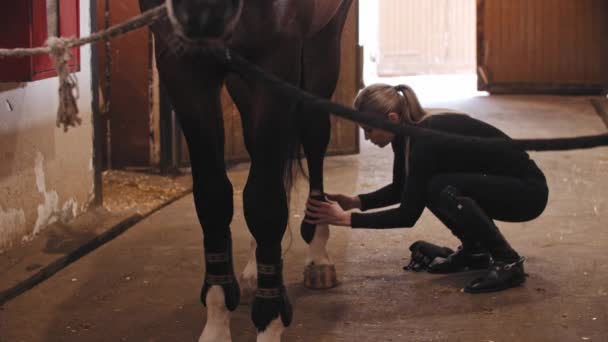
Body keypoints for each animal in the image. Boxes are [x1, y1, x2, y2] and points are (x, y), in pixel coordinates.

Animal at [138, 0, 354, 340]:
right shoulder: (182, 66)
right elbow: (213, 196)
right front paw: (217, 322)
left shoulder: (276, 60)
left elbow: (264, 202)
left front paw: (269, 319)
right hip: (241, 79)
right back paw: (254, 267)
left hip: (324, 40)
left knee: (314, 130)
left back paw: (318, 252)